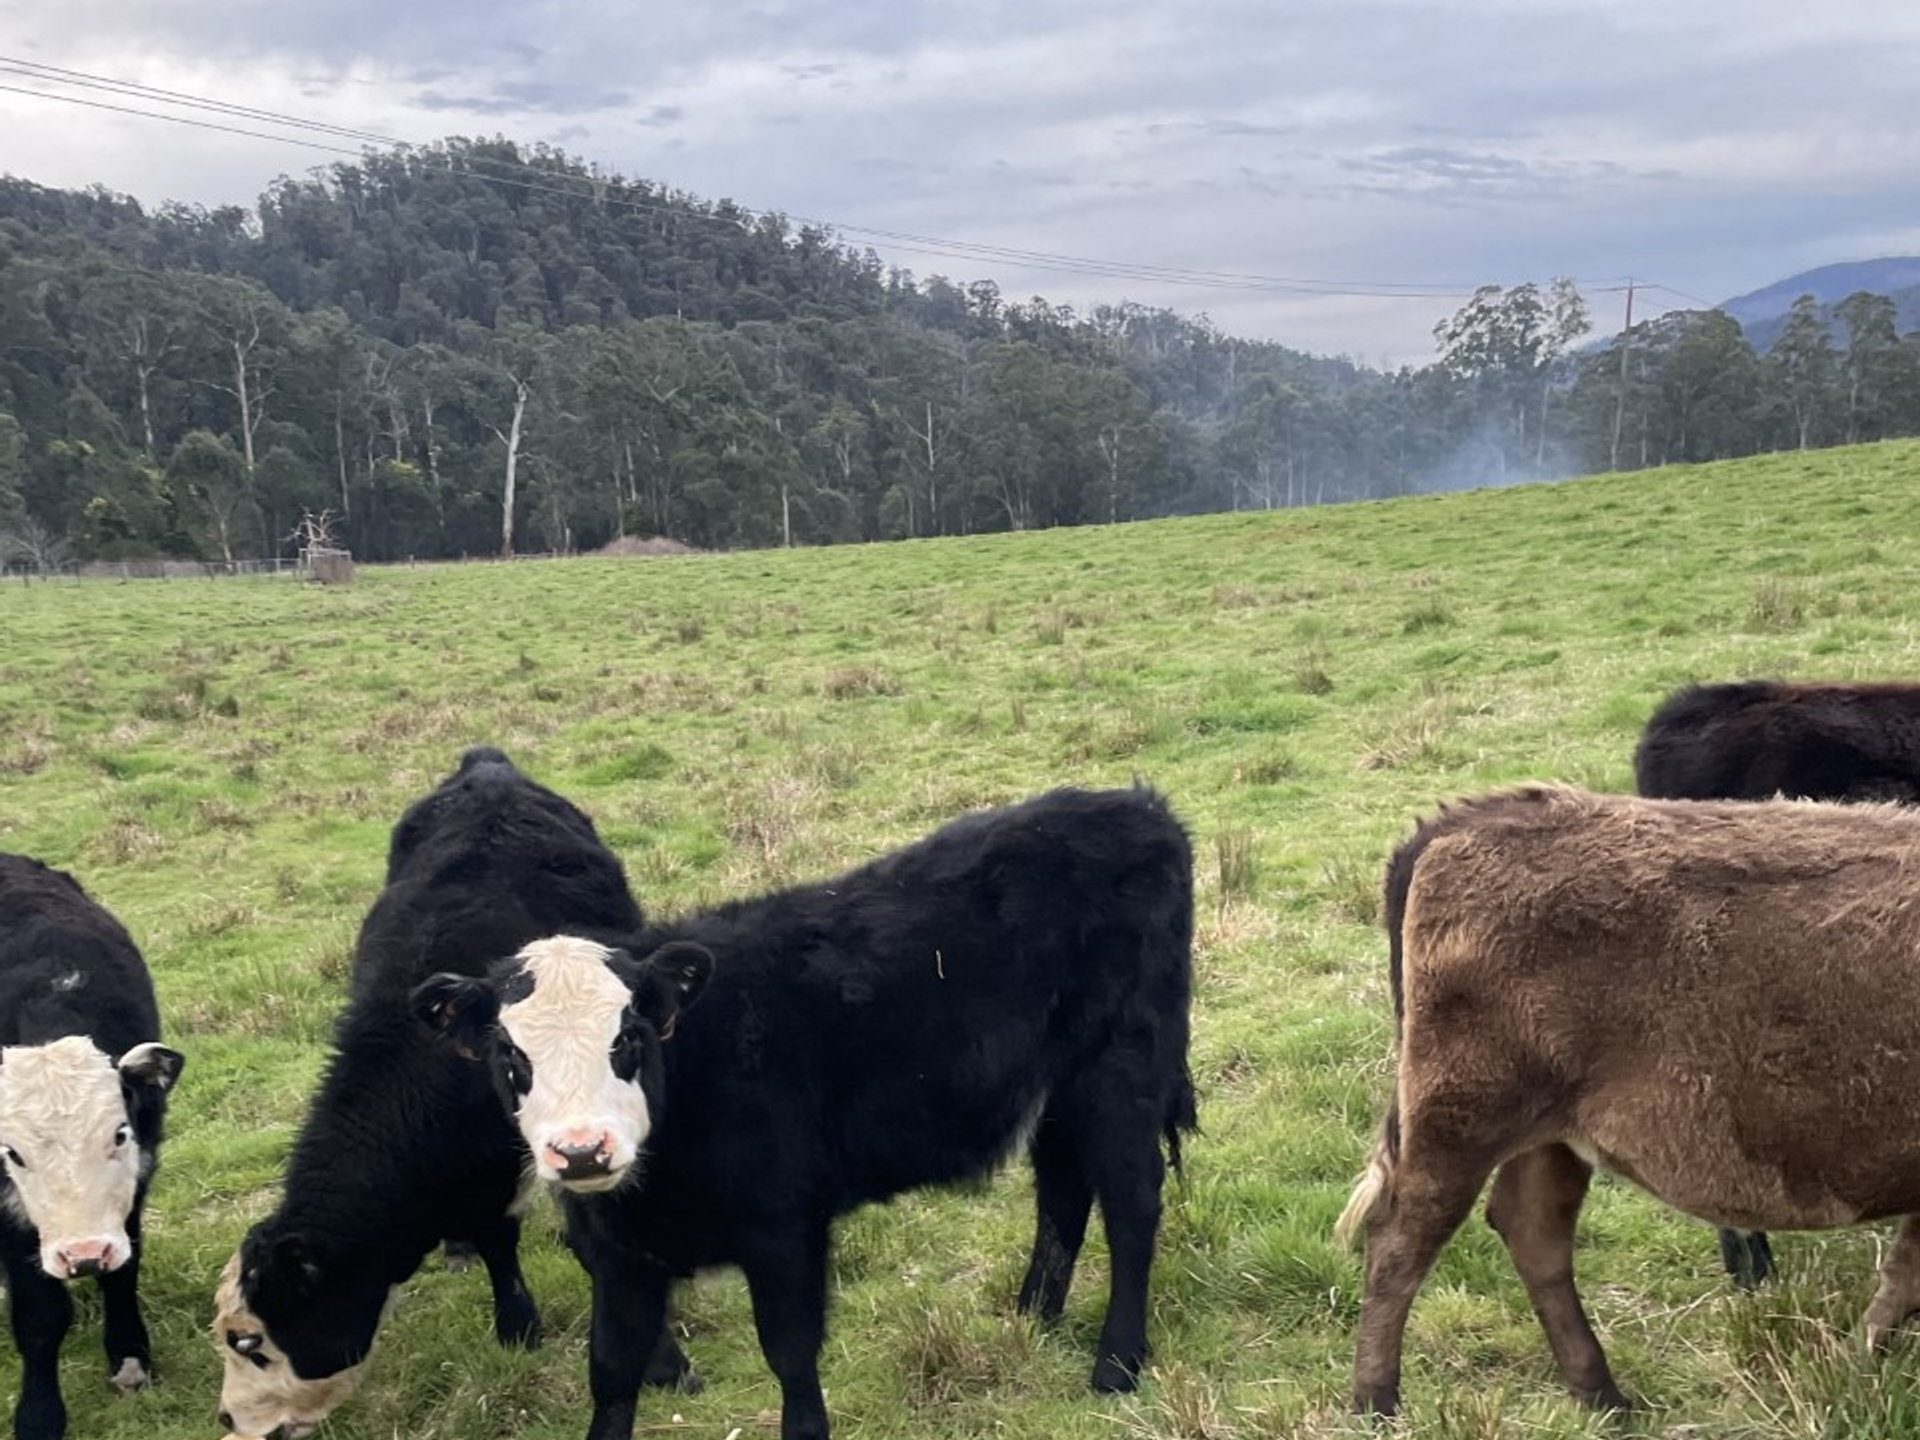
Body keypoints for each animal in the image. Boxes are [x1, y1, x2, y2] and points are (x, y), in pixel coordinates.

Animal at [0, 856, 181, 1440]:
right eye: (13, 1153)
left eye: (118, 1134)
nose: (83, 1255)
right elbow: (40, 1317)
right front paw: (38, 1416)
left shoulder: (137, 1178)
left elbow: (123, 1271)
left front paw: (129, 1359)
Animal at [1336, 791, 1920, 1420]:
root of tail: (1464, 820)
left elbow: (1903, 1273)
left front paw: (1859, 1360)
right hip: (1459, 1128)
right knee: (1401, 1238)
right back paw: (1376, 1400)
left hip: (1550, 1137)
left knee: (1533, 1233)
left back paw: (1603, 1395)